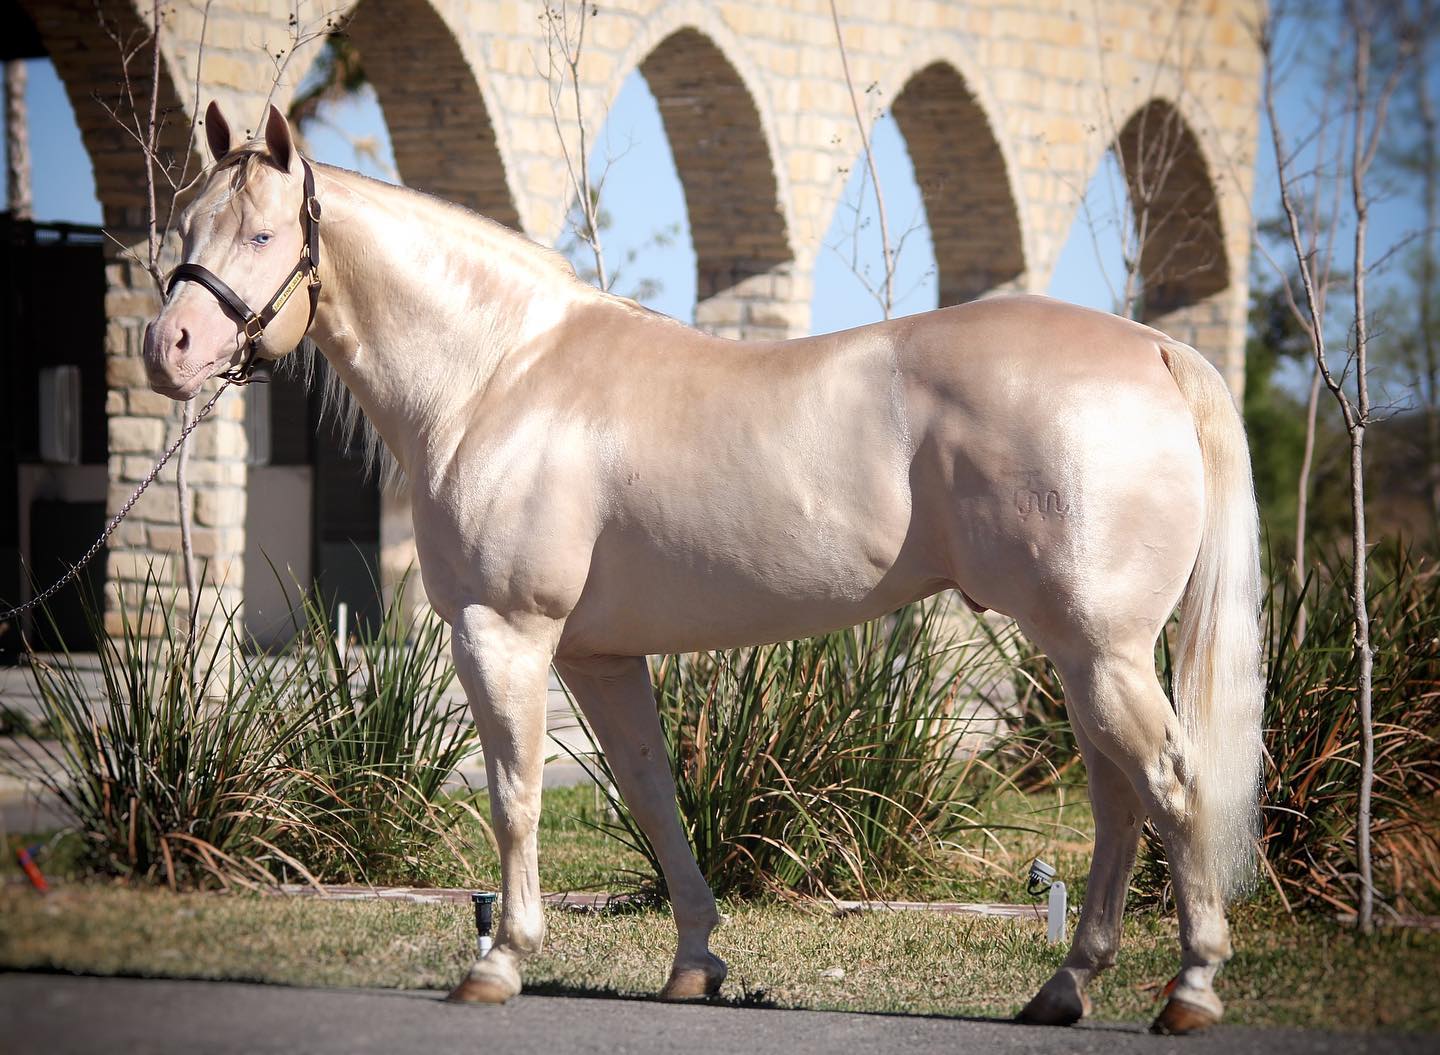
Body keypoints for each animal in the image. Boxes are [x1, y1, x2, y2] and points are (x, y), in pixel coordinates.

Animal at [143, 103, 1263, 1035]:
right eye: (184, 224)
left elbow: (514, 794)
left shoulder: (504, 633)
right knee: (1120, 802)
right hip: (1079, 655)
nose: (169, 347)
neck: (500, 375)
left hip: (1100, 650)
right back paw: (1063, 987)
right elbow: (650, 794)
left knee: (1172, 785)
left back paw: (1193, 988)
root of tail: (1152, 352)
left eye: (262, 233)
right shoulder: (596, 657)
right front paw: (695, 963)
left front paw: (499, 961)